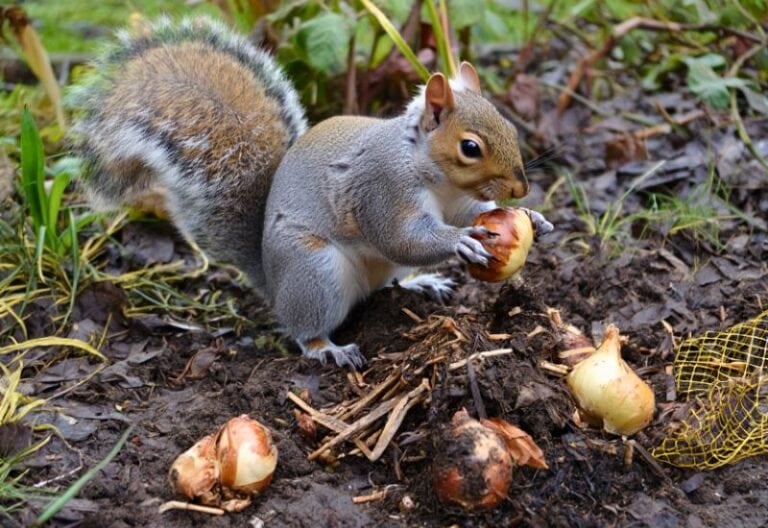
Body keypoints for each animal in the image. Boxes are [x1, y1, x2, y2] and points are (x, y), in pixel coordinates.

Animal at [69, 16, 552, 368]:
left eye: (510, 127)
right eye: (470, 147)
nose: (521, 186)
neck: (436, 175)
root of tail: (272, 279)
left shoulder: (459, 201)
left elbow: (476, 210)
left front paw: (532, 218)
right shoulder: (381, 188)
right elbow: (403, 237)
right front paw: (462, 241)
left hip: (366, 273)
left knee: (386, 285)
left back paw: (420, 283)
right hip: (315, 272)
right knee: (305, 329)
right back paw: (329, 349)